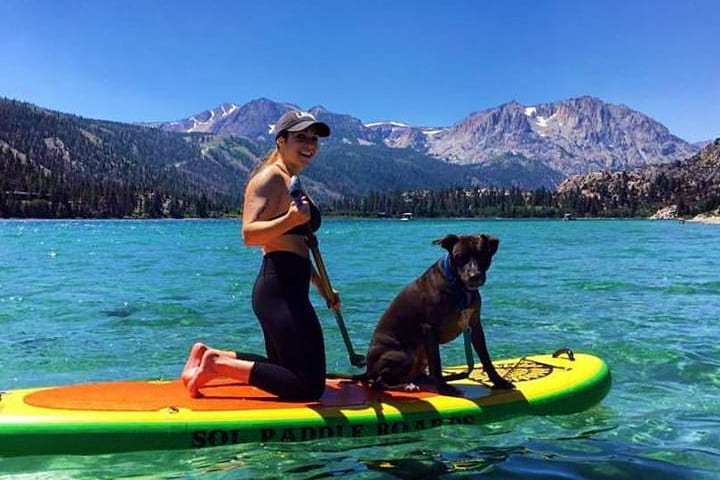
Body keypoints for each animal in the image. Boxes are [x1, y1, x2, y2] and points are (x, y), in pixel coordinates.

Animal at [366, 232, 512, 394]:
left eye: (483, 254)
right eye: (459, 256)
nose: (474, 276)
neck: (460, 287)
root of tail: (367, 370)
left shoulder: (474, 326)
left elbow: (485, 357)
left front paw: (498, 381)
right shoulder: (429, 329)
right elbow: (436, 362)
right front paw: (444, 388)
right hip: (402, 354)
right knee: (378, 383)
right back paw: (406, 386)